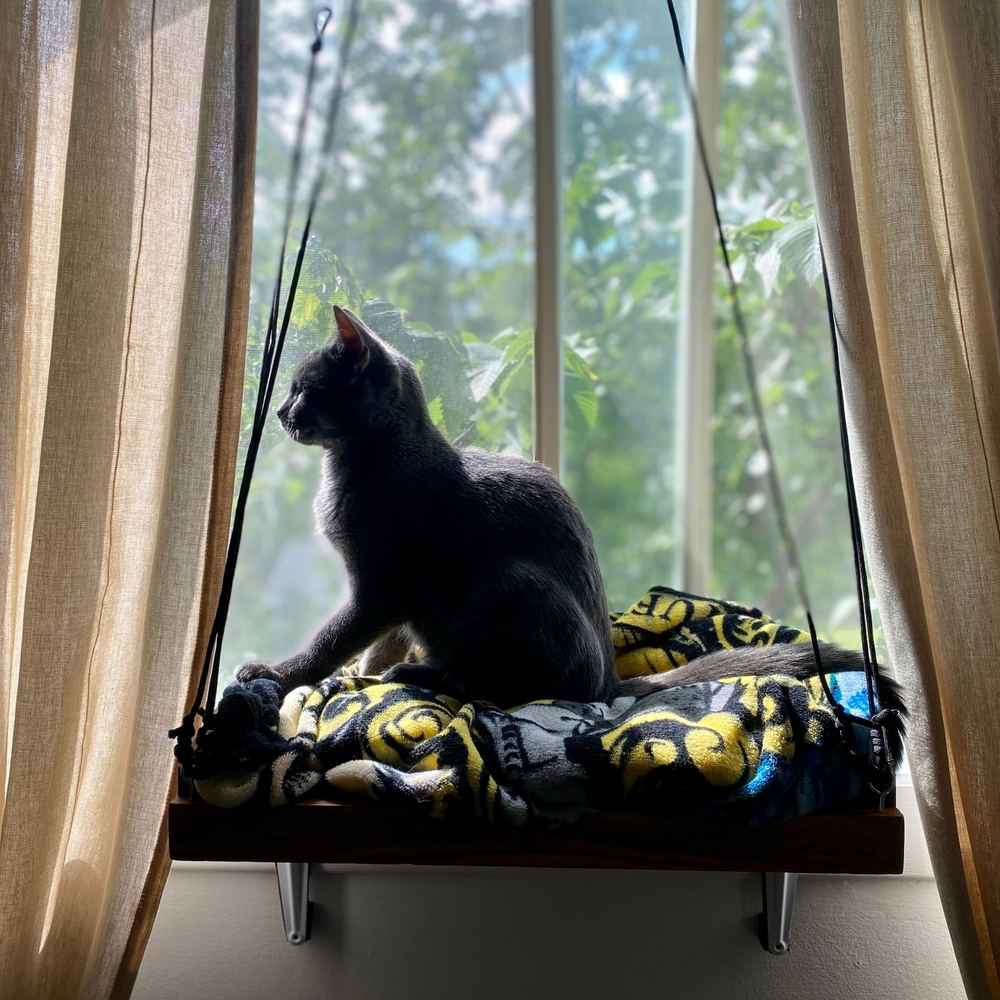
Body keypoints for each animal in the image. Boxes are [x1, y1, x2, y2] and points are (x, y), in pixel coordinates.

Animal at [236, 302, 908, 752]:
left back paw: (427, 675)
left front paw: (280, 674)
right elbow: (372, 646)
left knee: (505, 688)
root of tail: (613, 679)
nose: (280, 411)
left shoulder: (382, 587)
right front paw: (363, 679)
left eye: (303, 389)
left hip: (509, 587)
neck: (366, 460)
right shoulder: (397, 605)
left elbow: (332, 639)